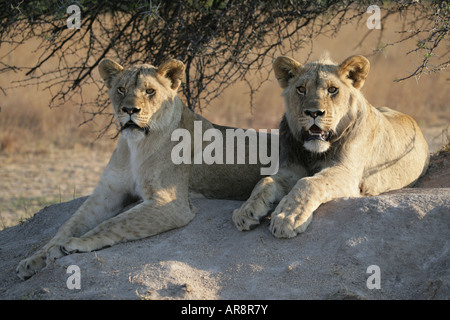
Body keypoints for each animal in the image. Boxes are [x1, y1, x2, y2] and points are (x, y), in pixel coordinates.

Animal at [16, 58, 270, 280]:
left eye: (149, 91)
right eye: (121, 89)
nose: (130, 110)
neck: (135, 145)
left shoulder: (172, 203)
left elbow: (115, 223)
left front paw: (75, 244)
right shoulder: (107, 192)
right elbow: (69, 224)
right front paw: (35, 258)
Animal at [232, 53, 428, 238]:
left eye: (333, 90)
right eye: (301, 89)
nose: (313, 113)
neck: (314, 153)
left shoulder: (348, 174)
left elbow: (309, 183)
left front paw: (288, 218)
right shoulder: (291, 169)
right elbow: (265, 181)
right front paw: (246, 211)